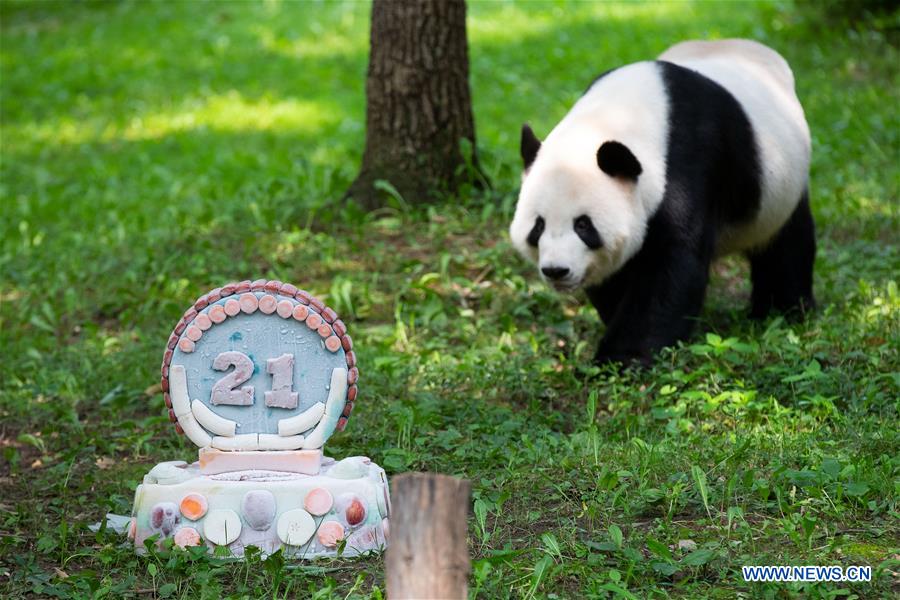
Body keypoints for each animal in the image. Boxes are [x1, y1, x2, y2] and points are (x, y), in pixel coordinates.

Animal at [512, 39, 816, 366]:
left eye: (583, 225)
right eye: (538, 226)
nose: (556, 270)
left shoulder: (688, 165)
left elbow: (672, 267)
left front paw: (621, 358)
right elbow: (615, 274)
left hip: (780, 187)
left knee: (787, 244)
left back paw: (781, 311)